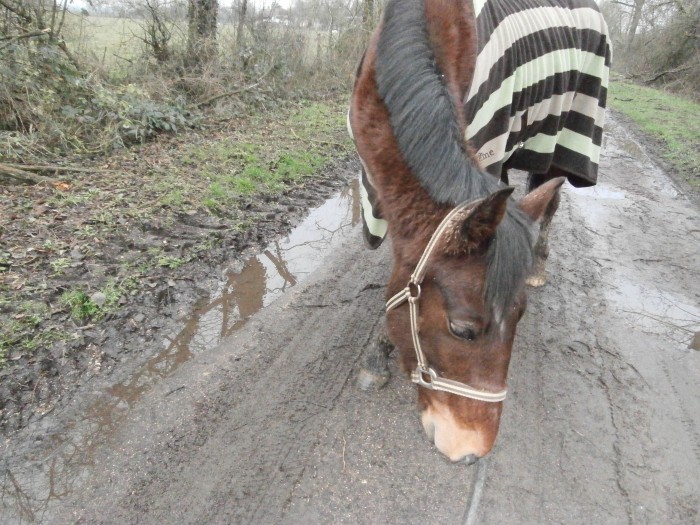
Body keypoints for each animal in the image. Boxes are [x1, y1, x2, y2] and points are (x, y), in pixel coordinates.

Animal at [350, 0, 608, 460]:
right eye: (463, 330)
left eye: (520, 317)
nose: (473, 450)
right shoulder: (376, 191)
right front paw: (377, 356)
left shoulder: (489, 142)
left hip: (562, 140)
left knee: (551, 201)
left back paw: (538, 264)